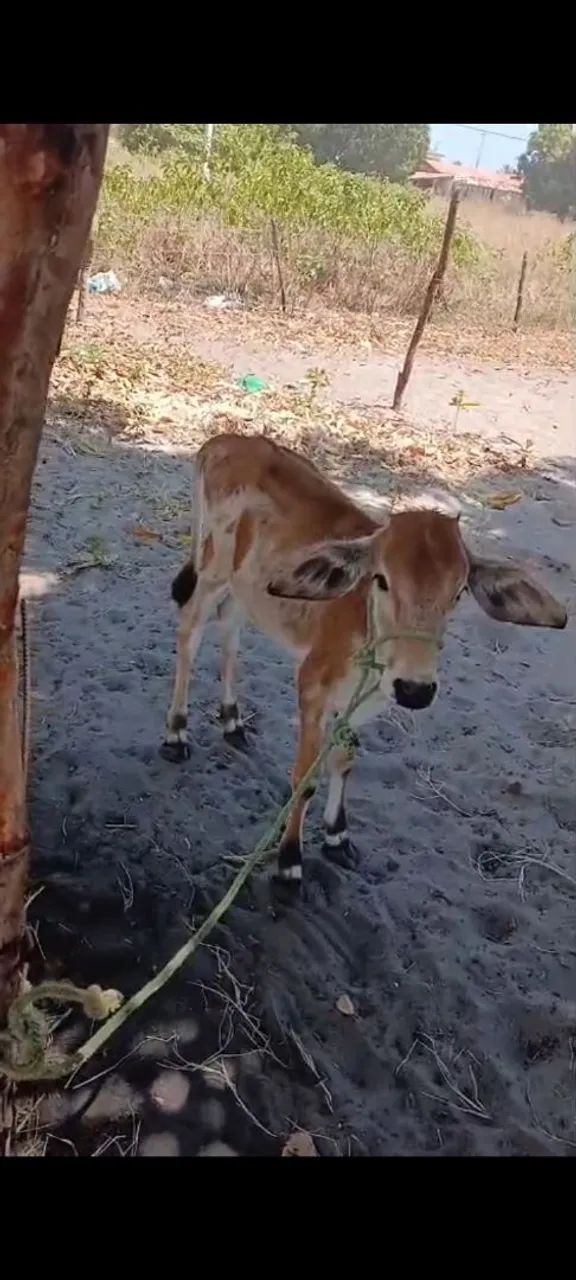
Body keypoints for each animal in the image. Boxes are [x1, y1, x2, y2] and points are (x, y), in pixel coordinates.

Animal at [162, 432, 567, 892]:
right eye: (382, 579)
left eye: (460, 591)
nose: (414, 689)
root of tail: (224, 439)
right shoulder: (312, 685)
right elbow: (306, 777)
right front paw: (289, 860)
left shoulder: (363, 701)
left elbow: (345, 760)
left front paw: (337, 835)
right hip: (211, 569)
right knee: (190, 632)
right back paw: (176, 732)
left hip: (244, 589)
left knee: (229, 630)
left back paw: (232, 720)